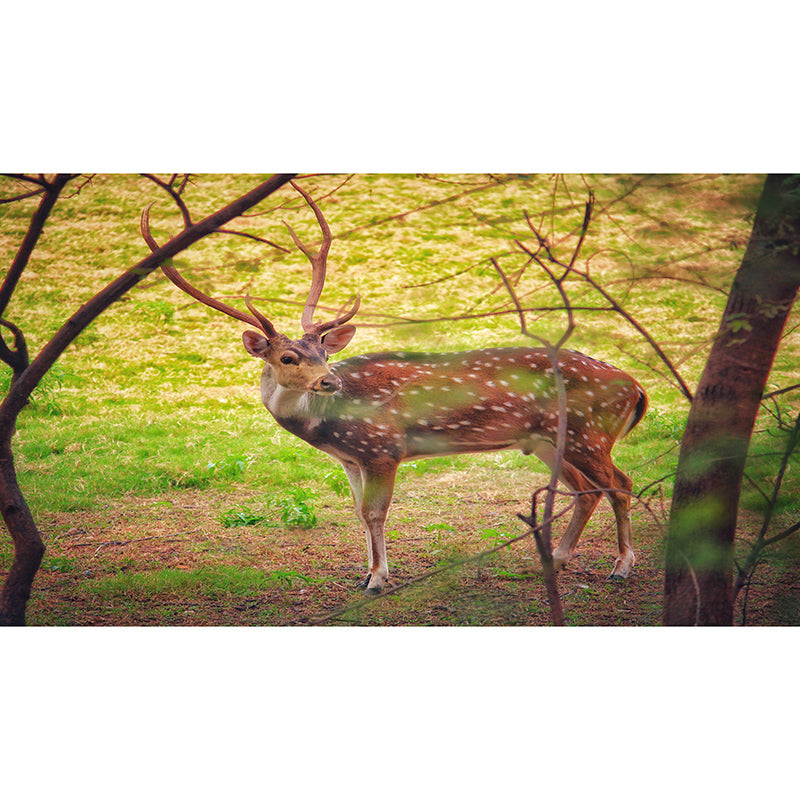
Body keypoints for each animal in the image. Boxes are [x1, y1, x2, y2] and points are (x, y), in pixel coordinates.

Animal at [141, 182, 648, 594]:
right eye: (288, 357)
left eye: (323, 351)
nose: (329, 380)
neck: (326, 426)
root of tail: (637, 388)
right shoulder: (350, 458)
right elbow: (358, 513)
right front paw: (367, 573)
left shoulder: (383, 448)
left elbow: (375, 513)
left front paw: (378, 580)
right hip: (549, 439)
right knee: (587, 489)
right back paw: (556, 560)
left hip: (588, 432)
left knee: (621, 483)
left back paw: (621, 568)